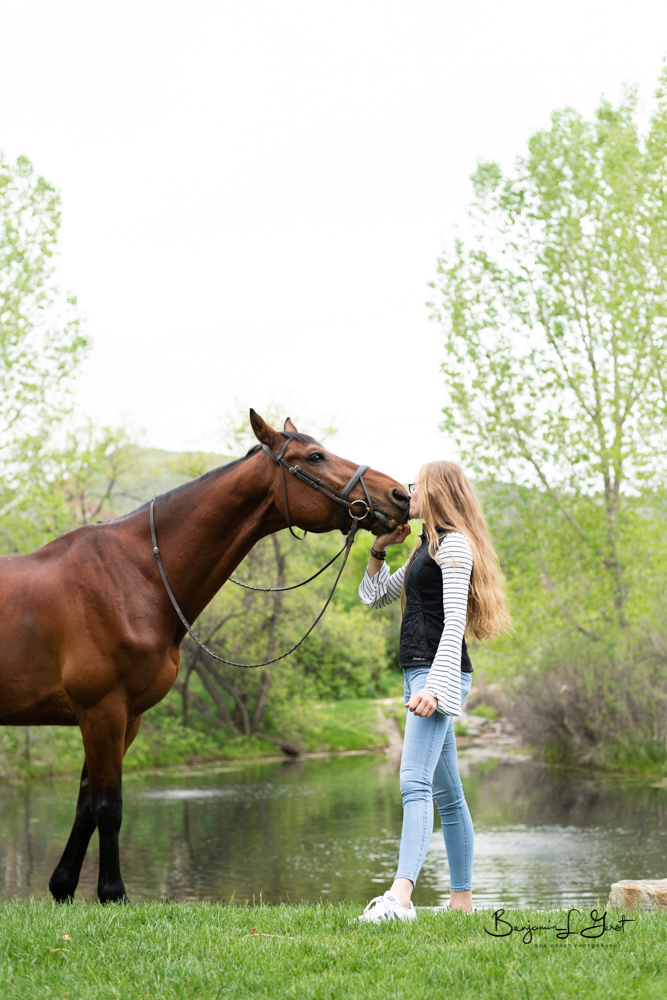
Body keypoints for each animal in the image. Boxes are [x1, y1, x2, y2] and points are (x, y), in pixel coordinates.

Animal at [0, 411, 409, 902]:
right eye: (314, 456)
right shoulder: (102, 710)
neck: (132, 575)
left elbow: (85, 803)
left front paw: (62, 886)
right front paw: (112, 892)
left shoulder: (124, 717)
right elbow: (107, 805)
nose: (401, 495)